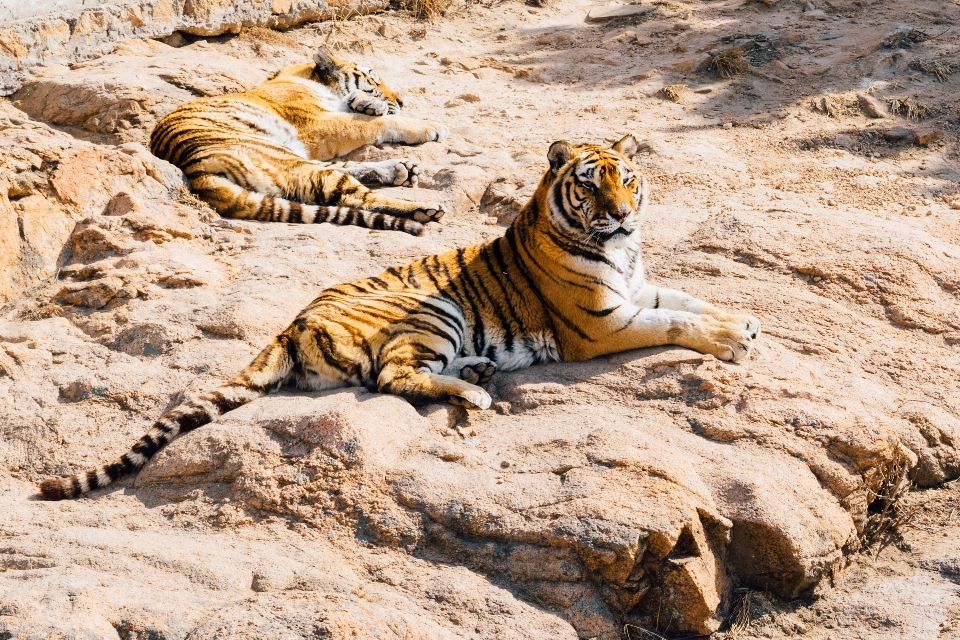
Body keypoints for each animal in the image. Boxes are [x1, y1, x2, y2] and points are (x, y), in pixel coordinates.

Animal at [39, 135, 764, 500]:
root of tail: (290, 322)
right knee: (393, 375)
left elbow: (688, 301)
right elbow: (676, 323)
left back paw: (477, 373)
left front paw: (746, 320)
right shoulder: (602, 323)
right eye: (590, 183)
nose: (621, 213)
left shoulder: (638, 288)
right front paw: (733, 338)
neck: (620, 249)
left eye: (628, 178)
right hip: (434, 307)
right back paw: (477, 390)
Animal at [149, 47, 450, 238]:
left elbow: (360, 112)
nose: (402, 101)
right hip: (288, 159)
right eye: (374, 80)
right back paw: (424, 208)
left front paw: (366, 104)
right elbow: (378, 123)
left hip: (294, 159)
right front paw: (431, 127)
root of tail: (196, 173)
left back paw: (402, 169)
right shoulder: (316, 126)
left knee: (343, 172)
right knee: (359, 197)